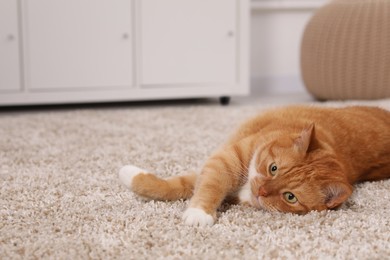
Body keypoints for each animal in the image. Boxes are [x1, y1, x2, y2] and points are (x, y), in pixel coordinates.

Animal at [118, 105, 390, 225]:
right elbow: (183, 186)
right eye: (273, 168)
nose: (261, 190)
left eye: (290, 197)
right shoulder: (225, 162)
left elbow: (189, 185)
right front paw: (129, 174)